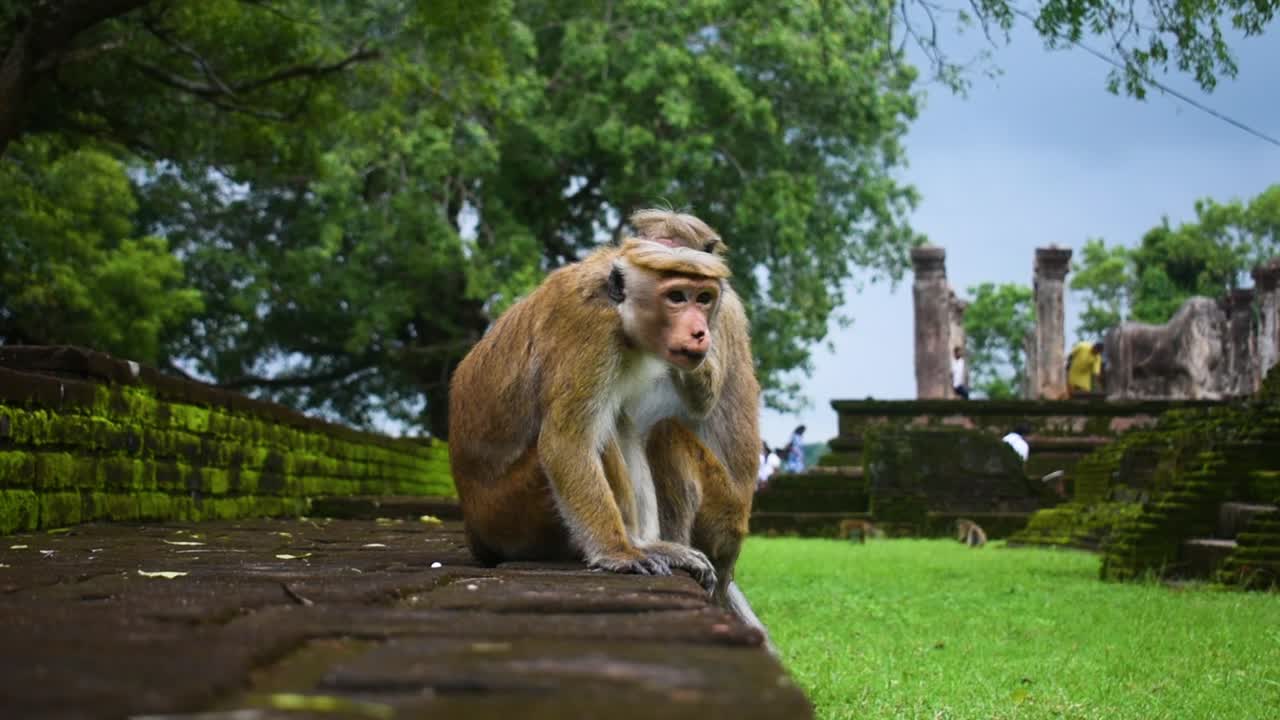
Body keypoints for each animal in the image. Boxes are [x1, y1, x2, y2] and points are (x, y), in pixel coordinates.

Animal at [448, 237, 733, 590]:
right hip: (510, 514)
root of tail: (475, 534)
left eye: (704, 298)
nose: (700, 332)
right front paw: (619, 552)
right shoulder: (591, 333)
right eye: (677, 297)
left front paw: (648, 546)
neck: (618, 310)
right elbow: (564, 442)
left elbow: (624, 426)